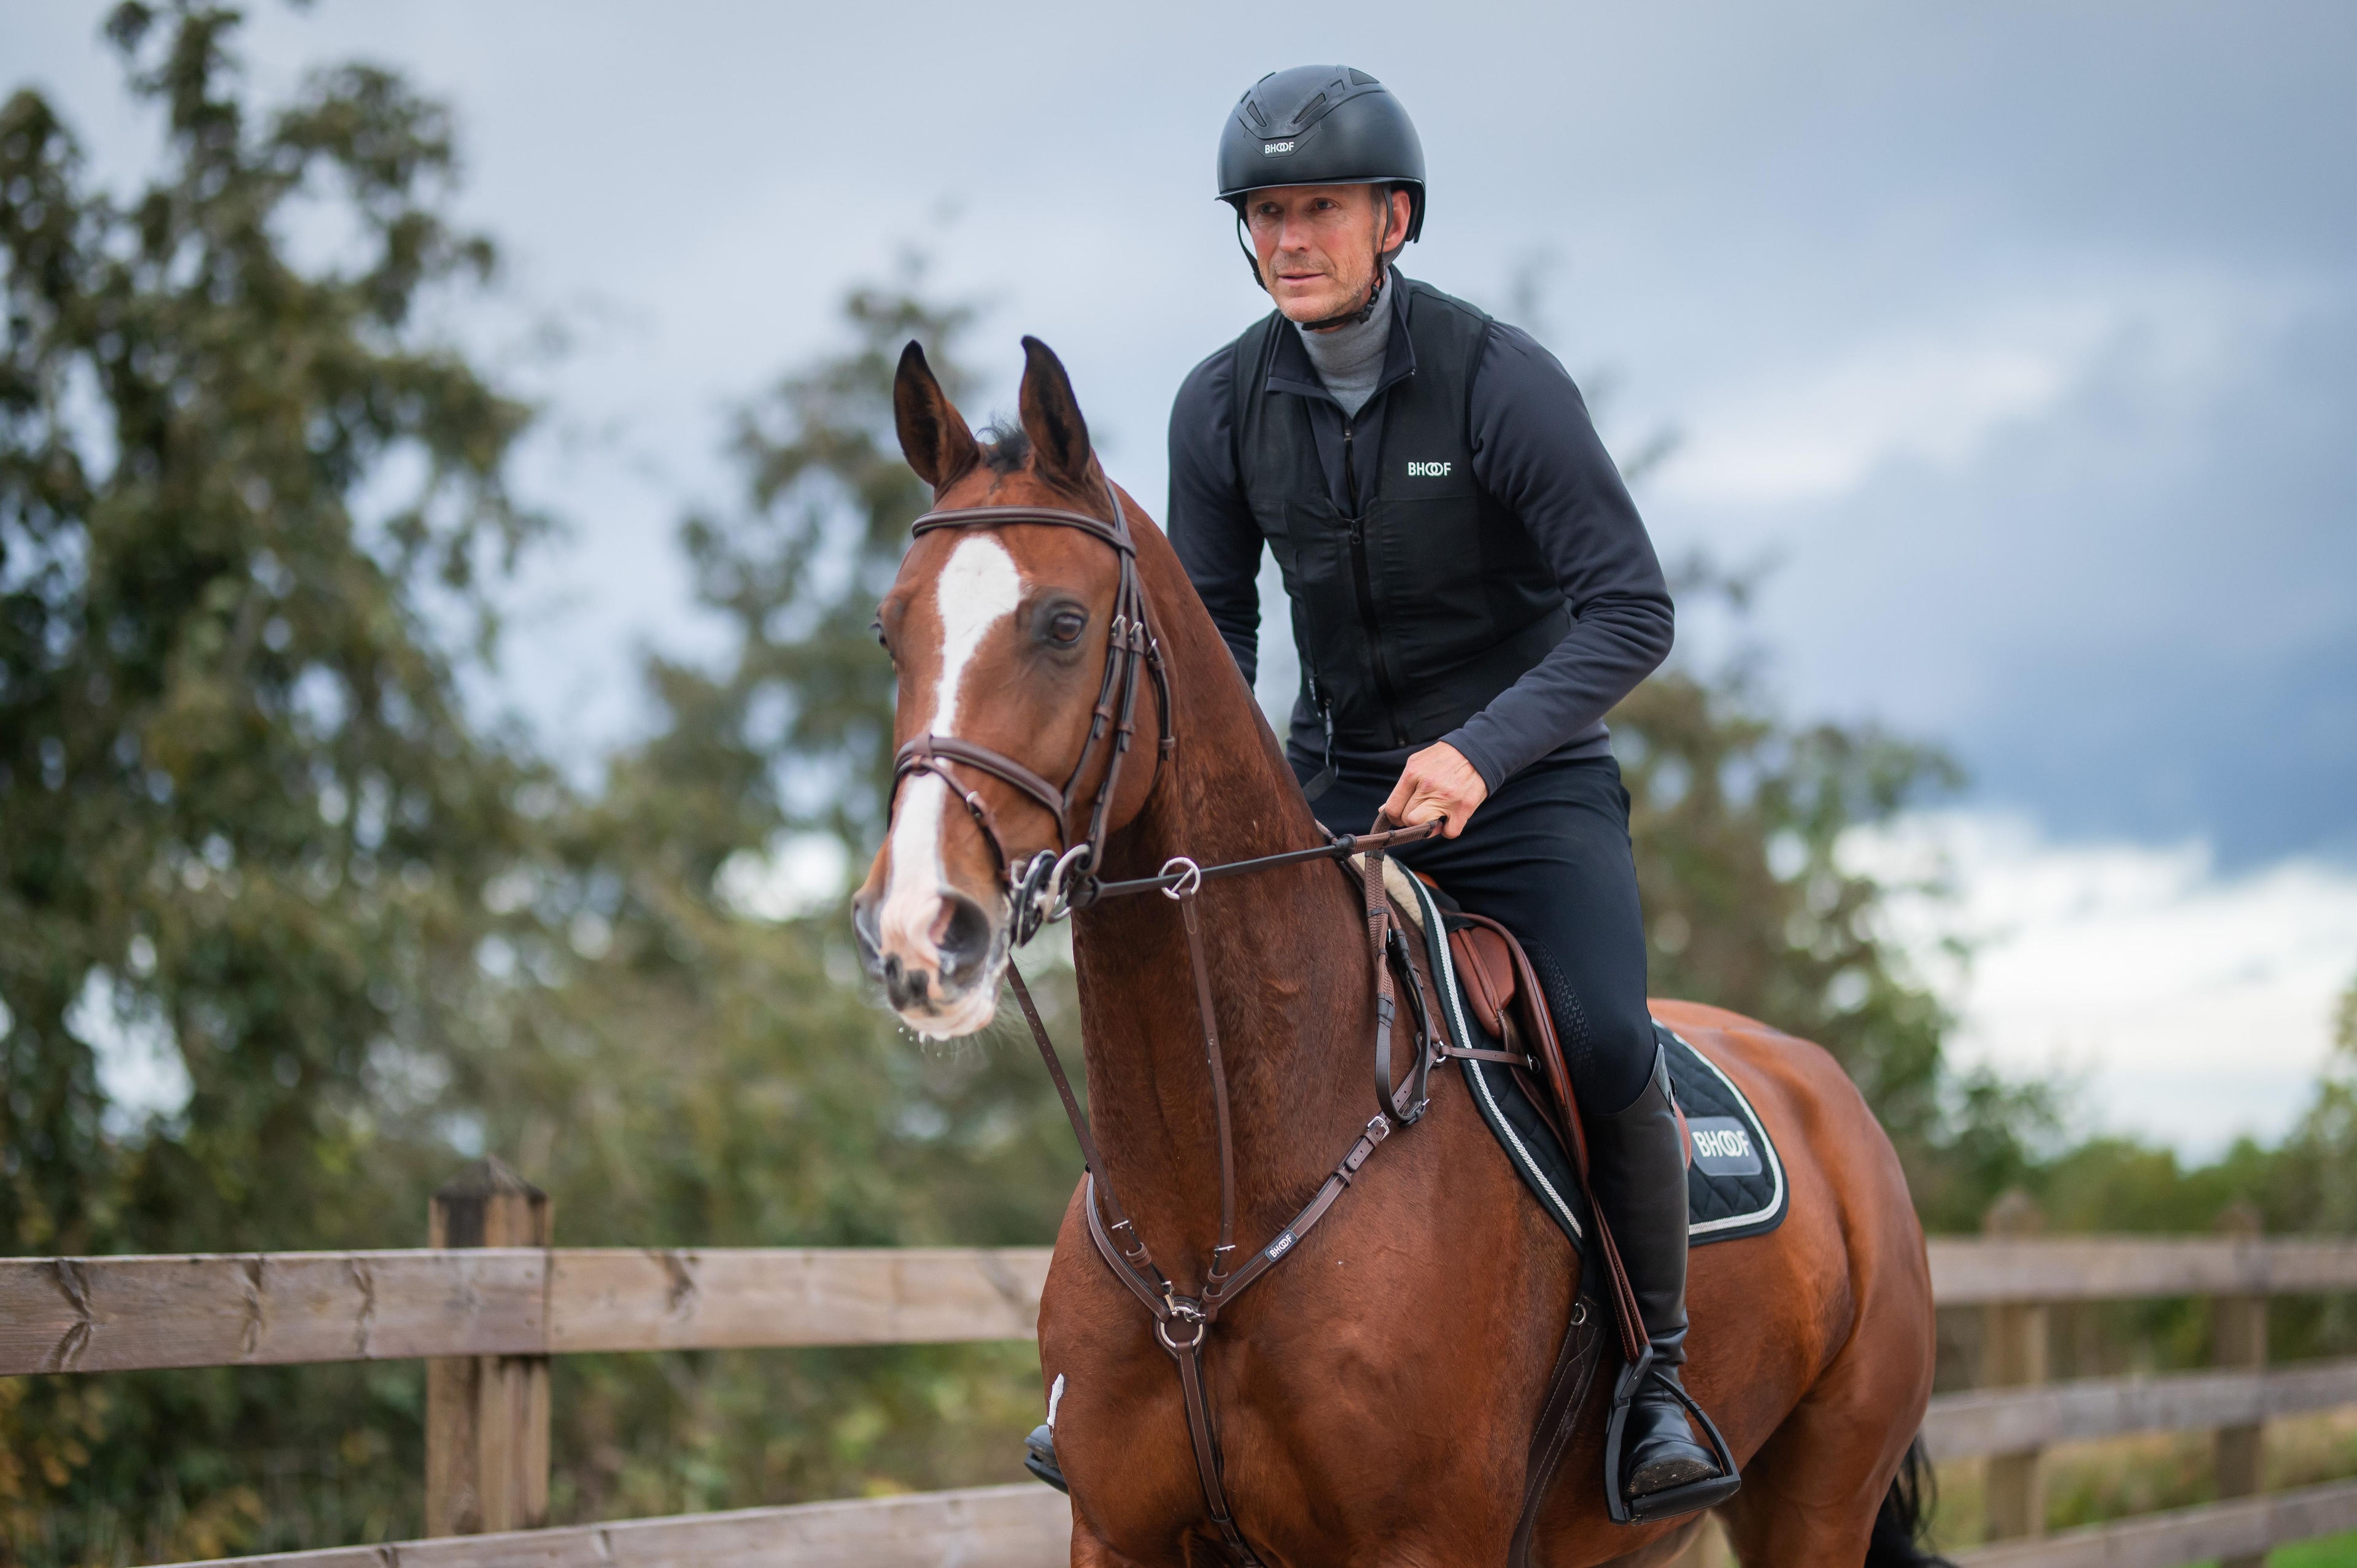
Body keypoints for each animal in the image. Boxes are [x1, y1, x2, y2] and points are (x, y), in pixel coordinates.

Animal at [848, 337, 1932, 1556]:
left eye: (1065, 624)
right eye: (891, 627)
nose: (920, 927)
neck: (1217, 1212)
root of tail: (1827, 1092)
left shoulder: (1419, 1543)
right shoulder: (1117, 1535)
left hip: (1817, 1503)